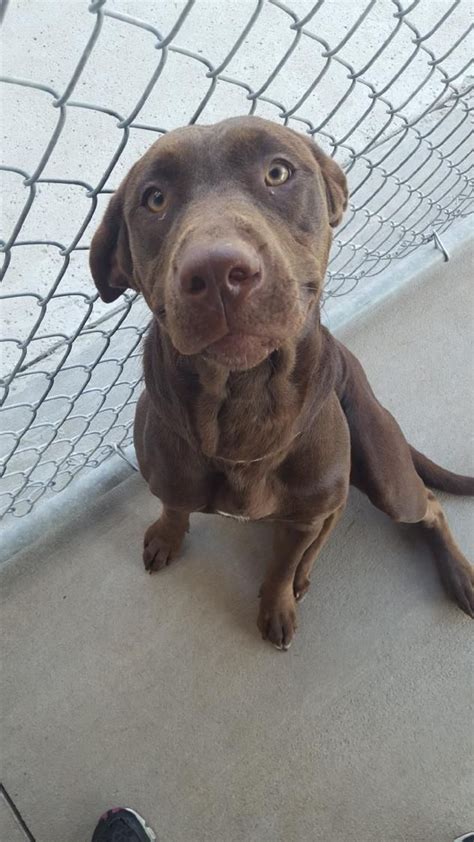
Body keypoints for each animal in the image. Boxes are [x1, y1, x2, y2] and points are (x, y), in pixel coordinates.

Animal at [90, 115, 474, 648]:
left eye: (277, 172)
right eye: (155, 199)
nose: (216, 271)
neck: (243, 399)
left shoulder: (301, 521)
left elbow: (280, 566)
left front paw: (277, 604)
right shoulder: (170, 478)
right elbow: (174, 507)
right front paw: (167, 535)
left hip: (385, 472)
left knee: (422, 505)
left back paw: (458, 576)